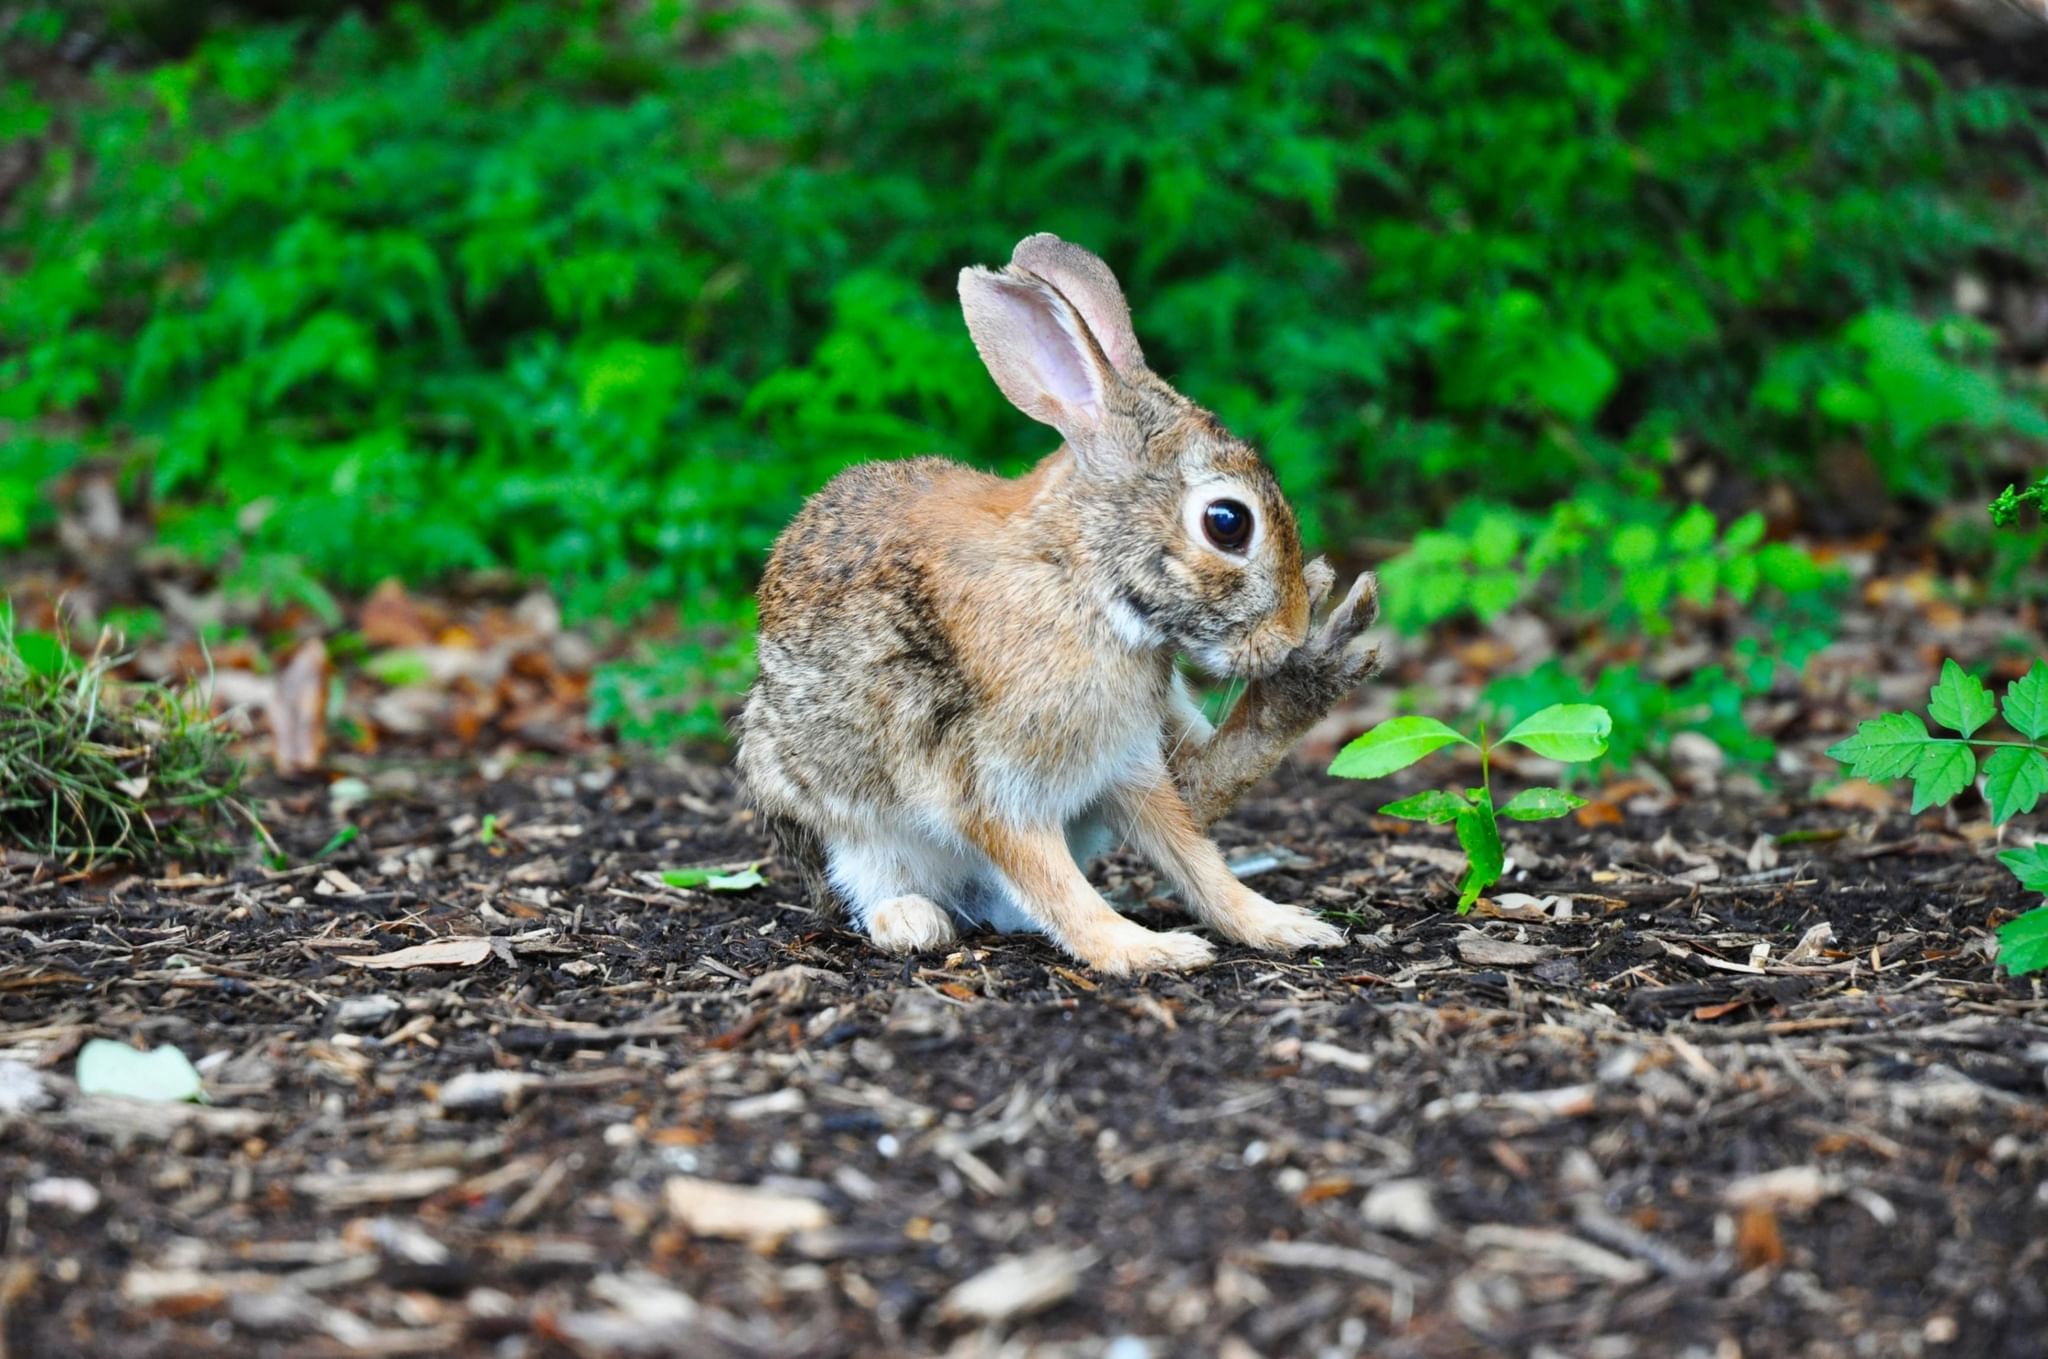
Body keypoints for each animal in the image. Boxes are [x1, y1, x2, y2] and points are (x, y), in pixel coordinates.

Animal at [737, 233, 1376, 978]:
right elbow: (1056, 883)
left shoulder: (1126, 763)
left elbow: (1194, 858)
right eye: (1227, 522)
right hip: (832, 814)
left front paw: (1279, 925)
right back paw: (912, 920)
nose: (1288, 633)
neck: (1083, 579)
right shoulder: (992, 783)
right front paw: (1144, 949)